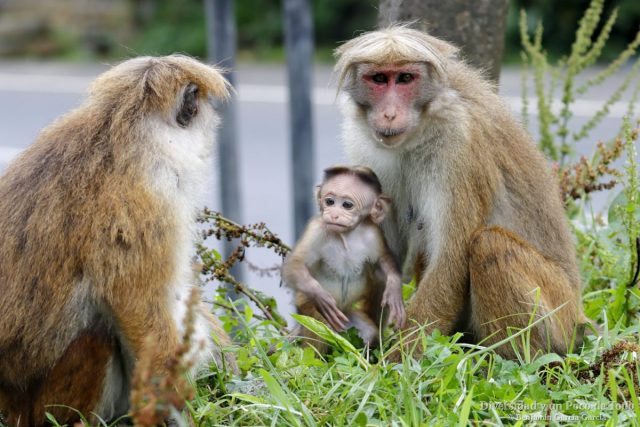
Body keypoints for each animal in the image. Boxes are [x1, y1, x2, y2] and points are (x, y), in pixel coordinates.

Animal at [282, 165, 406, 353]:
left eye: (347, 205)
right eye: (329, 202)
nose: (333, 214)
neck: (346, 236)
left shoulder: (373, 234)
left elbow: (384, 259)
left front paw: (394, 288)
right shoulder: (316, 230)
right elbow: (294, 265)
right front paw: (321, 296)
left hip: (347, 318)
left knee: (368, 331)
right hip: (308, 310)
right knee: (320, 326)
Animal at [333, 26, 588, 359]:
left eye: (405, 78)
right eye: (378, 79)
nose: (389, 114)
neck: (424, 126)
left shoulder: (460, 145)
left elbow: (450, 262)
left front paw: (392, 365)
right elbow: (386, 257)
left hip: (559, 313)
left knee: (488, 244)